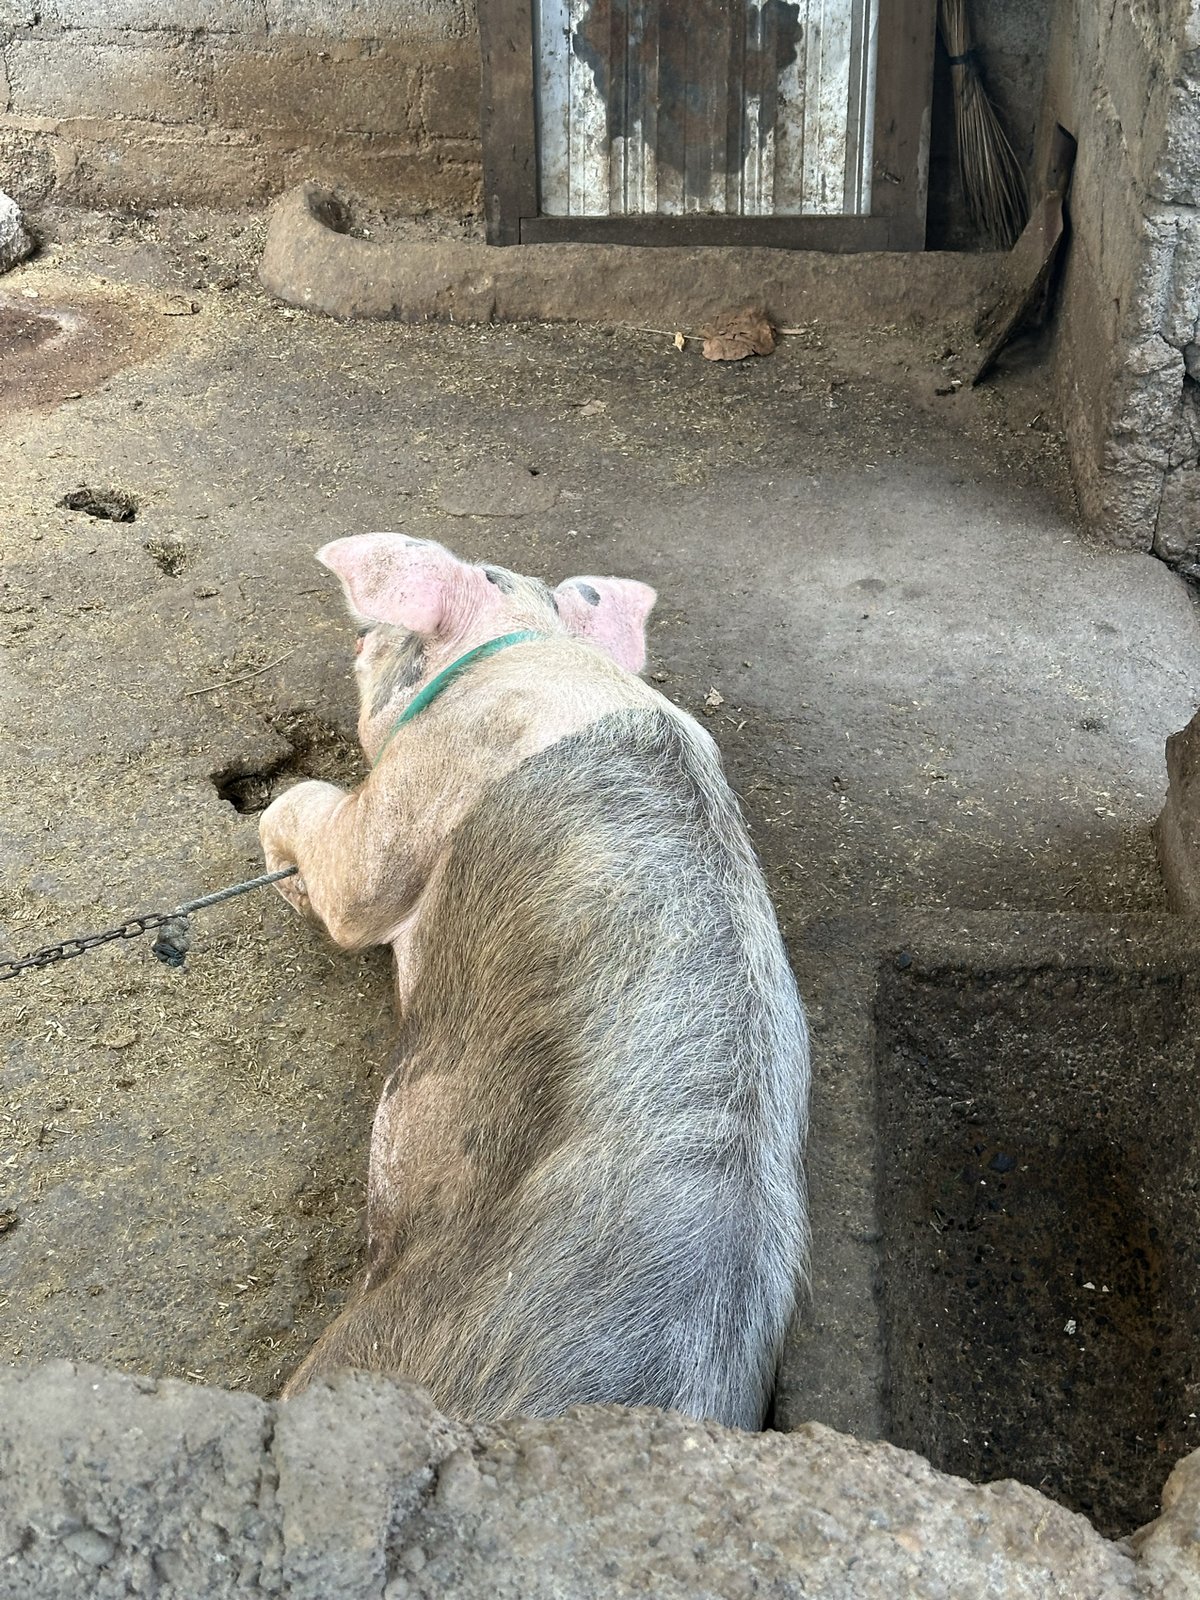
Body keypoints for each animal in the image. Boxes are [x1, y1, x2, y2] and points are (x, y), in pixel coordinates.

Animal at [259, 533, 809, 1428]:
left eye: (396, 637)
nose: (360, 639)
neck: (529, 646)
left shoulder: (426, 777)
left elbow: (342, 870)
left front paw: (285, 868)